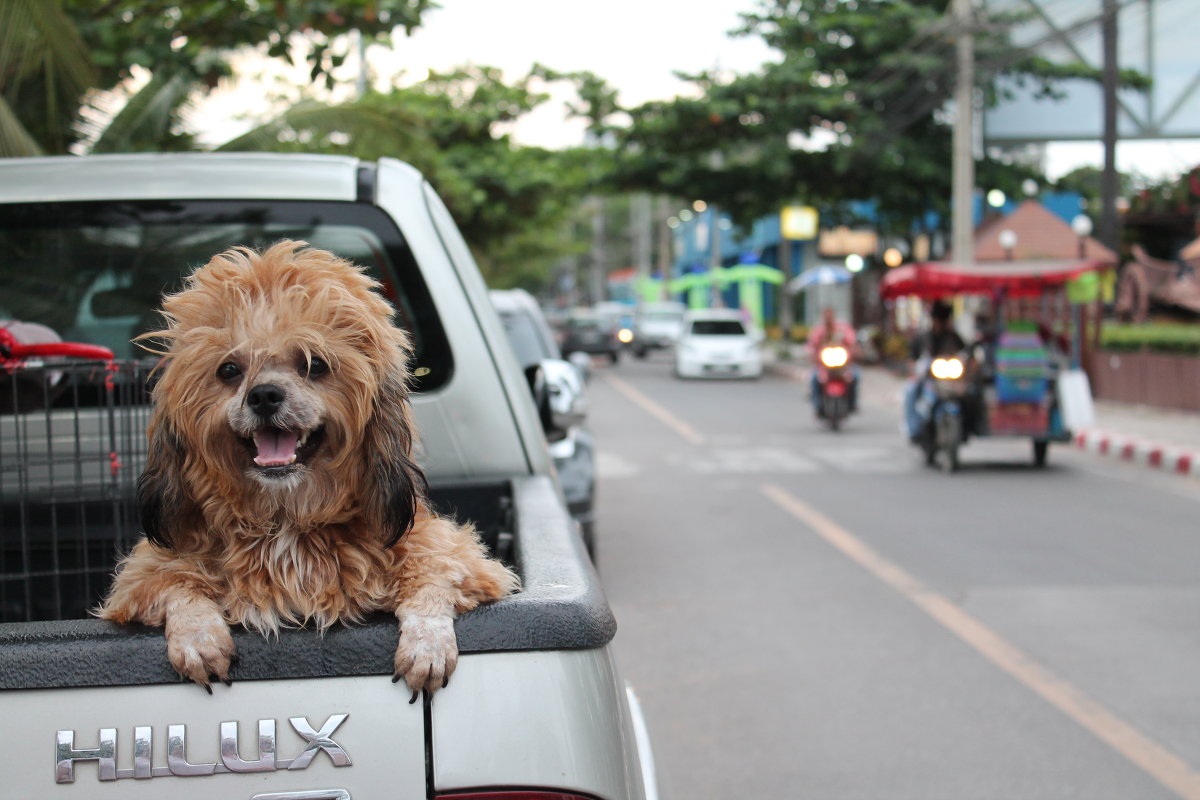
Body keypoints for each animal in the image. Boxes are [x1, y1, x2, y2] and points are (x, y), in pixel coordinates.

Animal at [97, 241, 516, 695]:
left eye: (314, 365)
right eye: (229, 370)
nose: (263, 395)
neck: (287, 519)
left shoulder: (453, 553)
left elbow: (434, 576)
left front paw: (427, 647)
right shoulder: (142, 577)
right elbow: (178, 584)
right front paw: (198, 639)